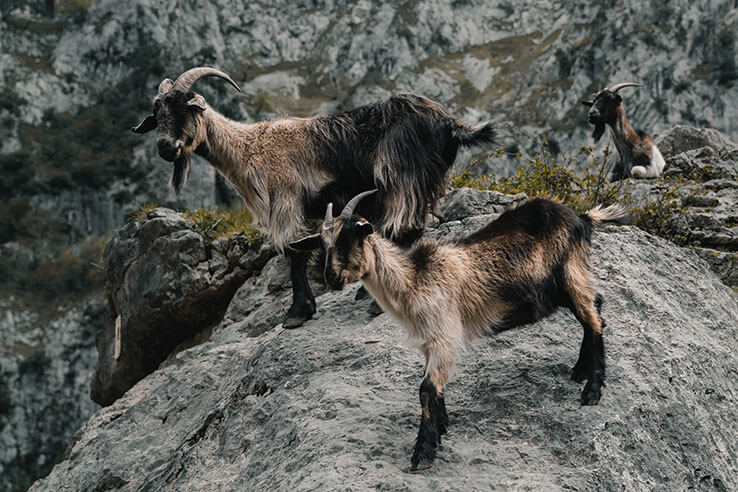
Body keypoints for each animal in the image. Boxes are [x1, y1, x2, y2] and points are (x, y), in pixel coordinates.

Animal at [132, 67, 496, 328]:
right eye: (157, 115)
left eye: (184, 108)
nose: (166, 148)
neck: (248, 148)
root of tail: (448, 122)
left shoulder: (286, 200)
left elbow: (293, 251)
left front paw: (297, 312)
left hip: (401, 176)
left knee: (404, 228)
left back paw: (375, 300)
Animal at [290, 189, 628, 471]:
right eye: (323, 244)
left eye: (350, 238)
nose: (331, 278)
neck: (414, 280)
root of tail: (581, 217)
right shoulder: (430, 342)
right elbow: (434, 387)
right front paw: (442, 427)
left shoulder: (444, 334)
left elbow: (426, 389)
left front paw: (423, 454)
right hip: (565, 286)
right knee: (596, 309)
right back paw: (580, 370)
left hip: (570, 274)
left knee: (593, 318)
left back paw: (592, 391)